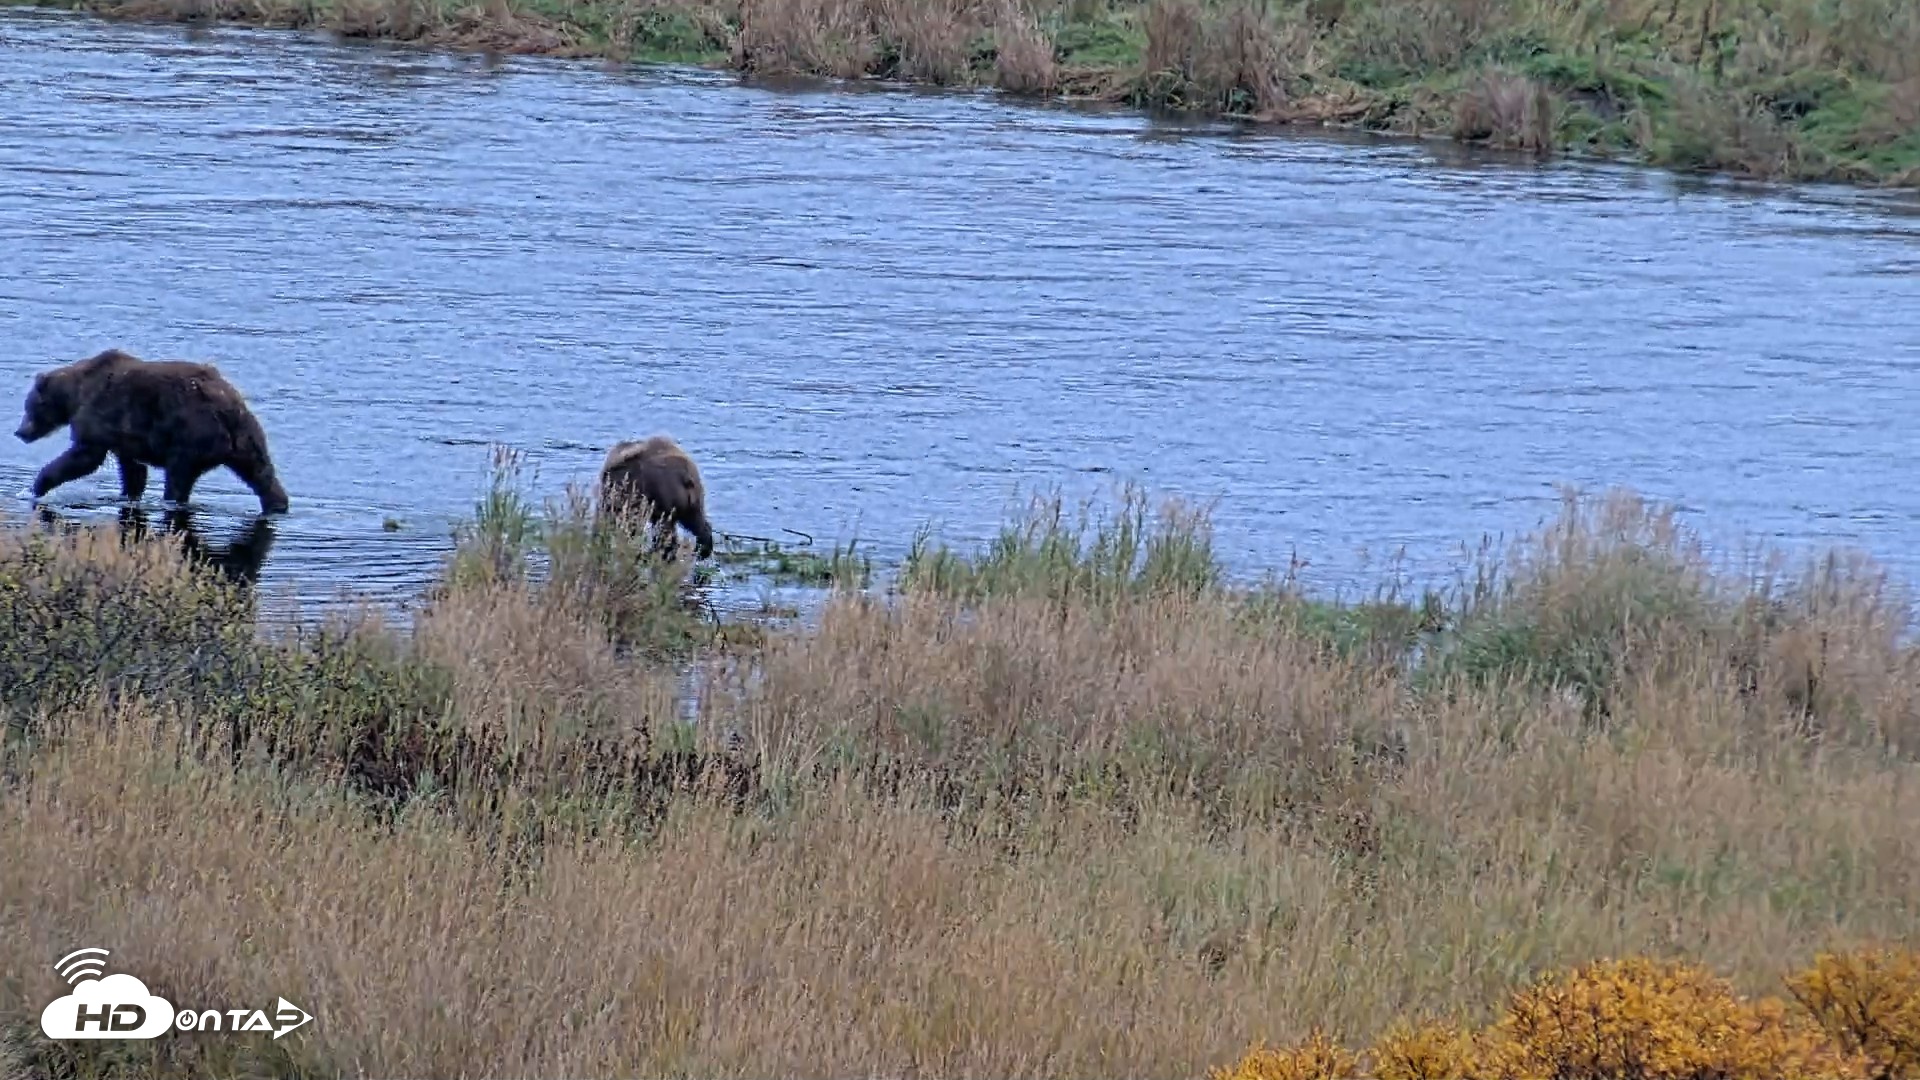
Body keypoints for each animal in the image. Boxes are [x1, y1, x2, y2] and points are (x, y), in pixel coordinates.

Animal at [14, 348, 290, 515]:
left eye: (29, 406)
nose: (20, 432)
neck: (75, 393)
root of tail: (227, 408)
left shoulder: (100, 415)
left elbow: (85, 456)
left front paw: (37, 487)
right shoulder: (125, 436)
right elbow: (133, 471)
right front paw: (128, 494)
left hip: (191, 436)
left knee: (178, 476)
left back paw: (171, 499)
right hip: (248, 437)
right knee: (262, 474)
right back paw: (277, 505)